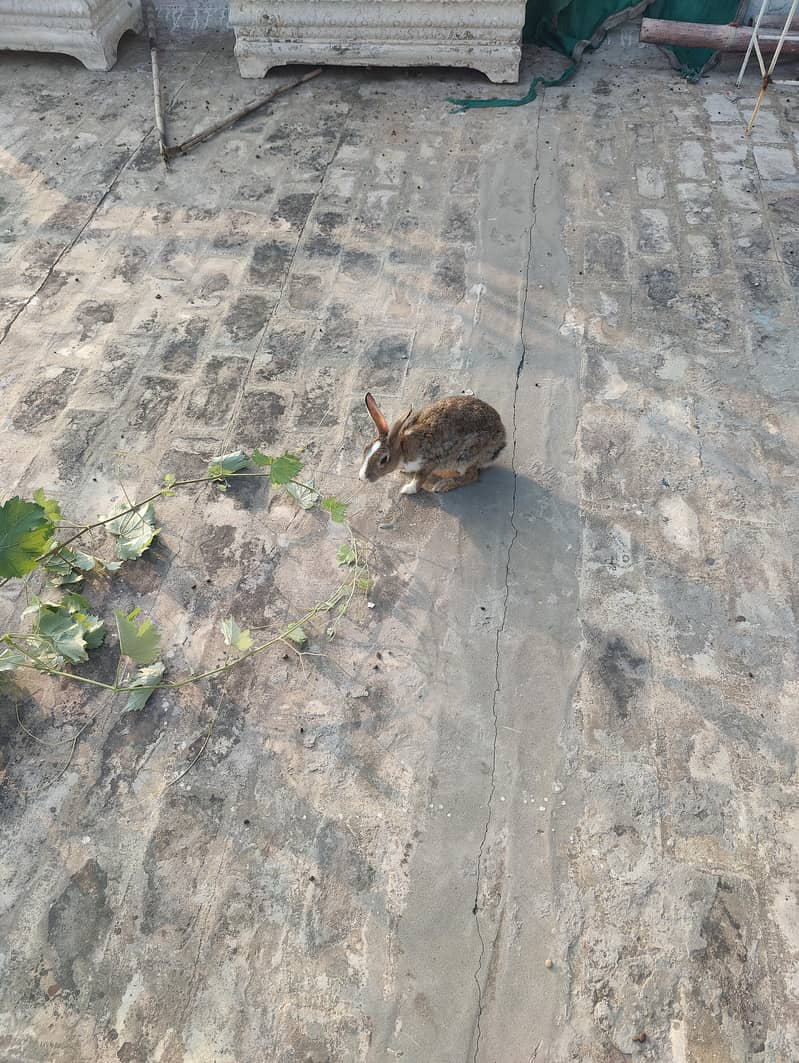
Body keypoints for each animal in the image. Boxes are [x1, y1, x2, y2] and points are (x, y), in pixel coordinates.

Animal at [358, 392, 506, 495]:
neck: (403, 449)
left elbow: (419, 478)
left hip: (465, 456)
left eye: (384, 460)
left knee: (472, 475)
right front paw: (404, 471)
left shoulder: (430, 461)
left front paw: (407, 489)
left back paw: (443, 485)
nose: (362, 478)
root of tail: (502, 440)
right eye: (365, 449)